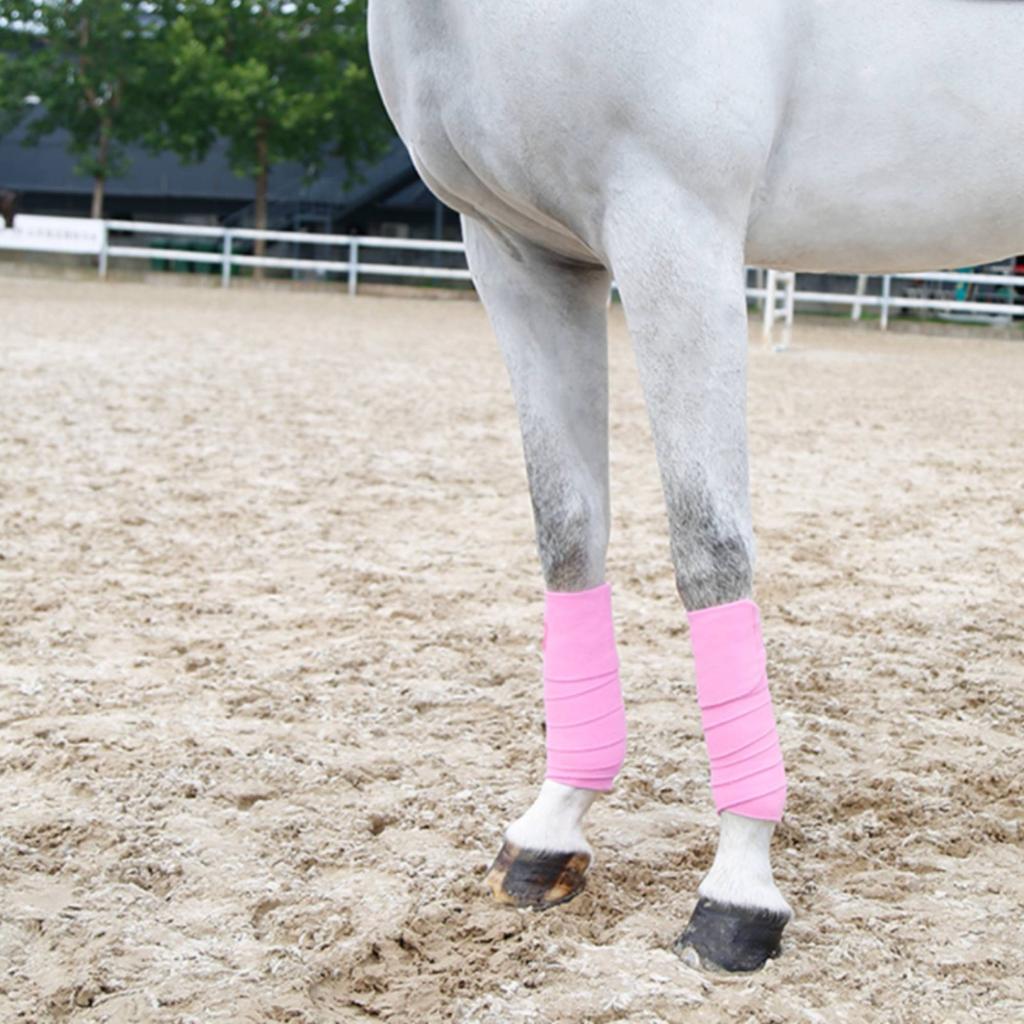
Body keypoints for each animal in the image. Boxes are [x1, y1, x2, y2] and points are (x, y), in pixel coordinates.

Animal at [367, 0, 1024, 972]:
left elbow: (709, 548)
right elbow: (568, 534)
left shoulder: (677, 230)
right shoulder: (521, 255)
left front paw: (739, 890)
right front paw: (551, 831)